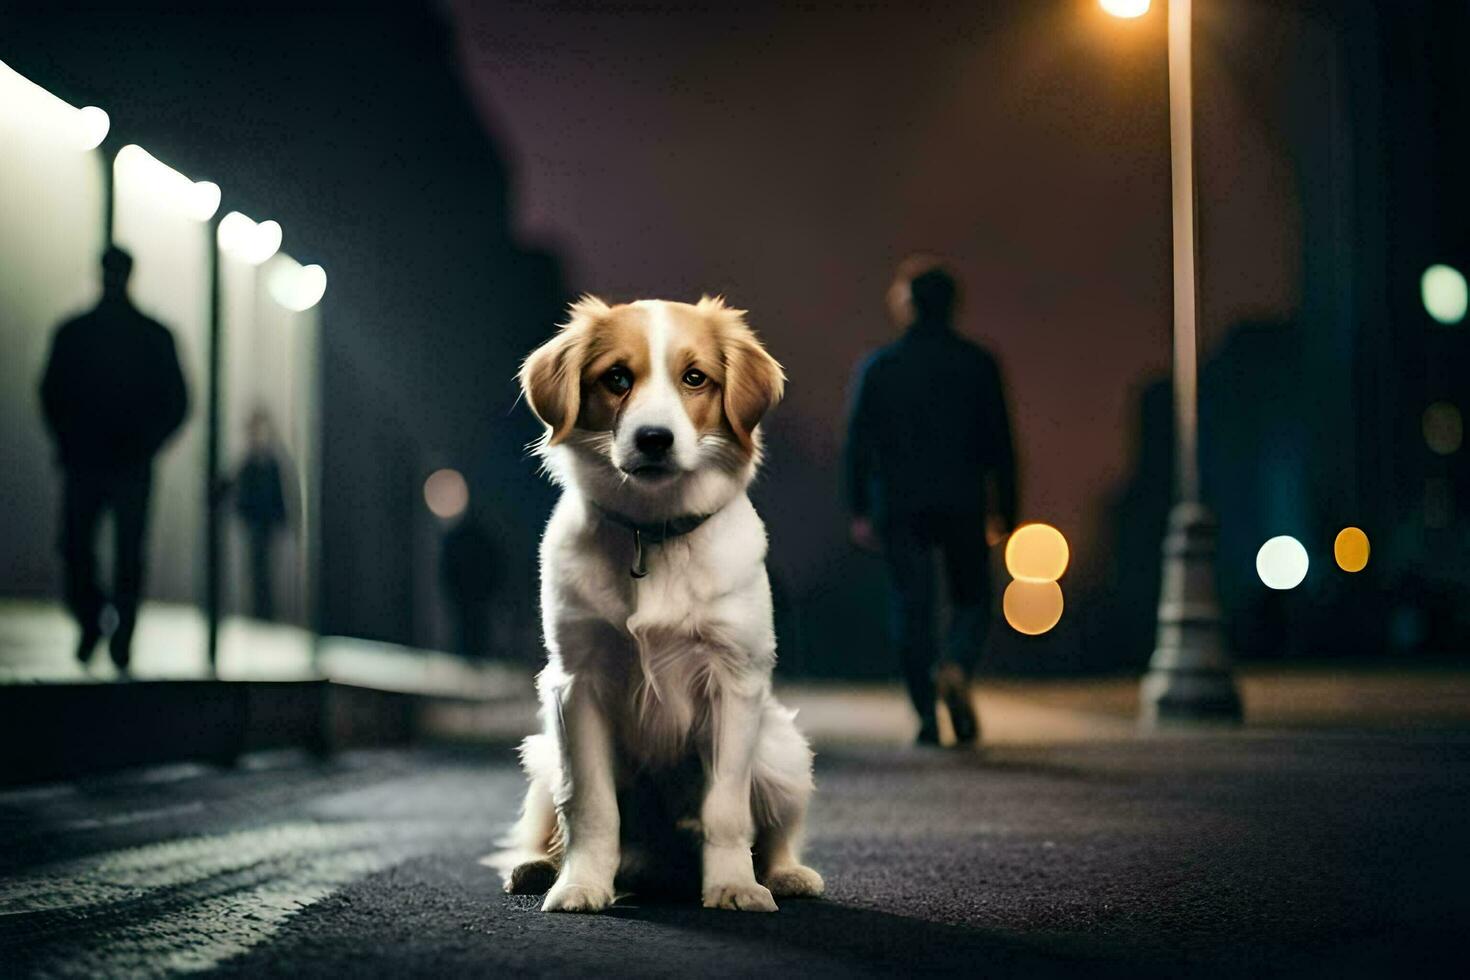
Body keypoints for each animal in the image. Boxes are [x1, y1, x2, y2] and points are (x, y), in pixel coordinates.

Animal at [488, 296, 823, 910]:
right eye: (617, 377)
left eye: (695, 378)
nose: (653, 439)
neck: (653, 530)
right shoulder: (576, 683)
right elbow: (590, 806)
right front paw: (582, 884)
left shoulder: (733, 683)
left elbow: (726, 809)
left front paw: (734, 886)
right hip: (544, 751)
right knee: (546, 820)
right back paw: (538, 866)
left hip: (782, 753)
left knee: (776, 831)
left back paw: (786, 874)